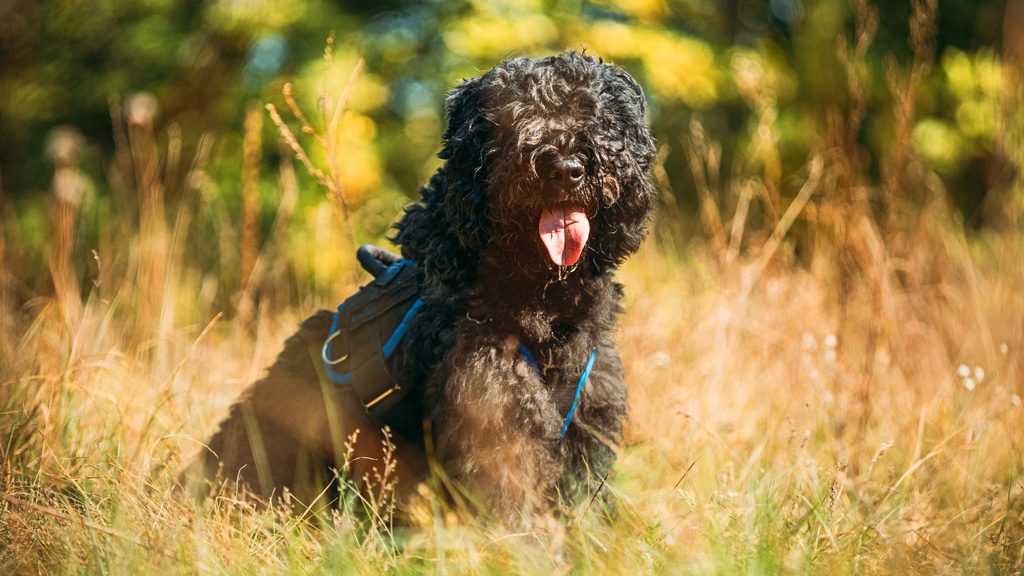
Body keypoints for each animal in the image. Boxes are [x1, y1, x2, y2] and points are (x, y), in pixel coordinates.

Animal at [184, 51, 655, 522]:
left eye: (594, 114)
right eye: (517, 115)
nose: (565, 168)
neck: (544, 302)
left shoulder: (588, 417)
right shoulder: (498, 415)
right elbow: (513, 505)